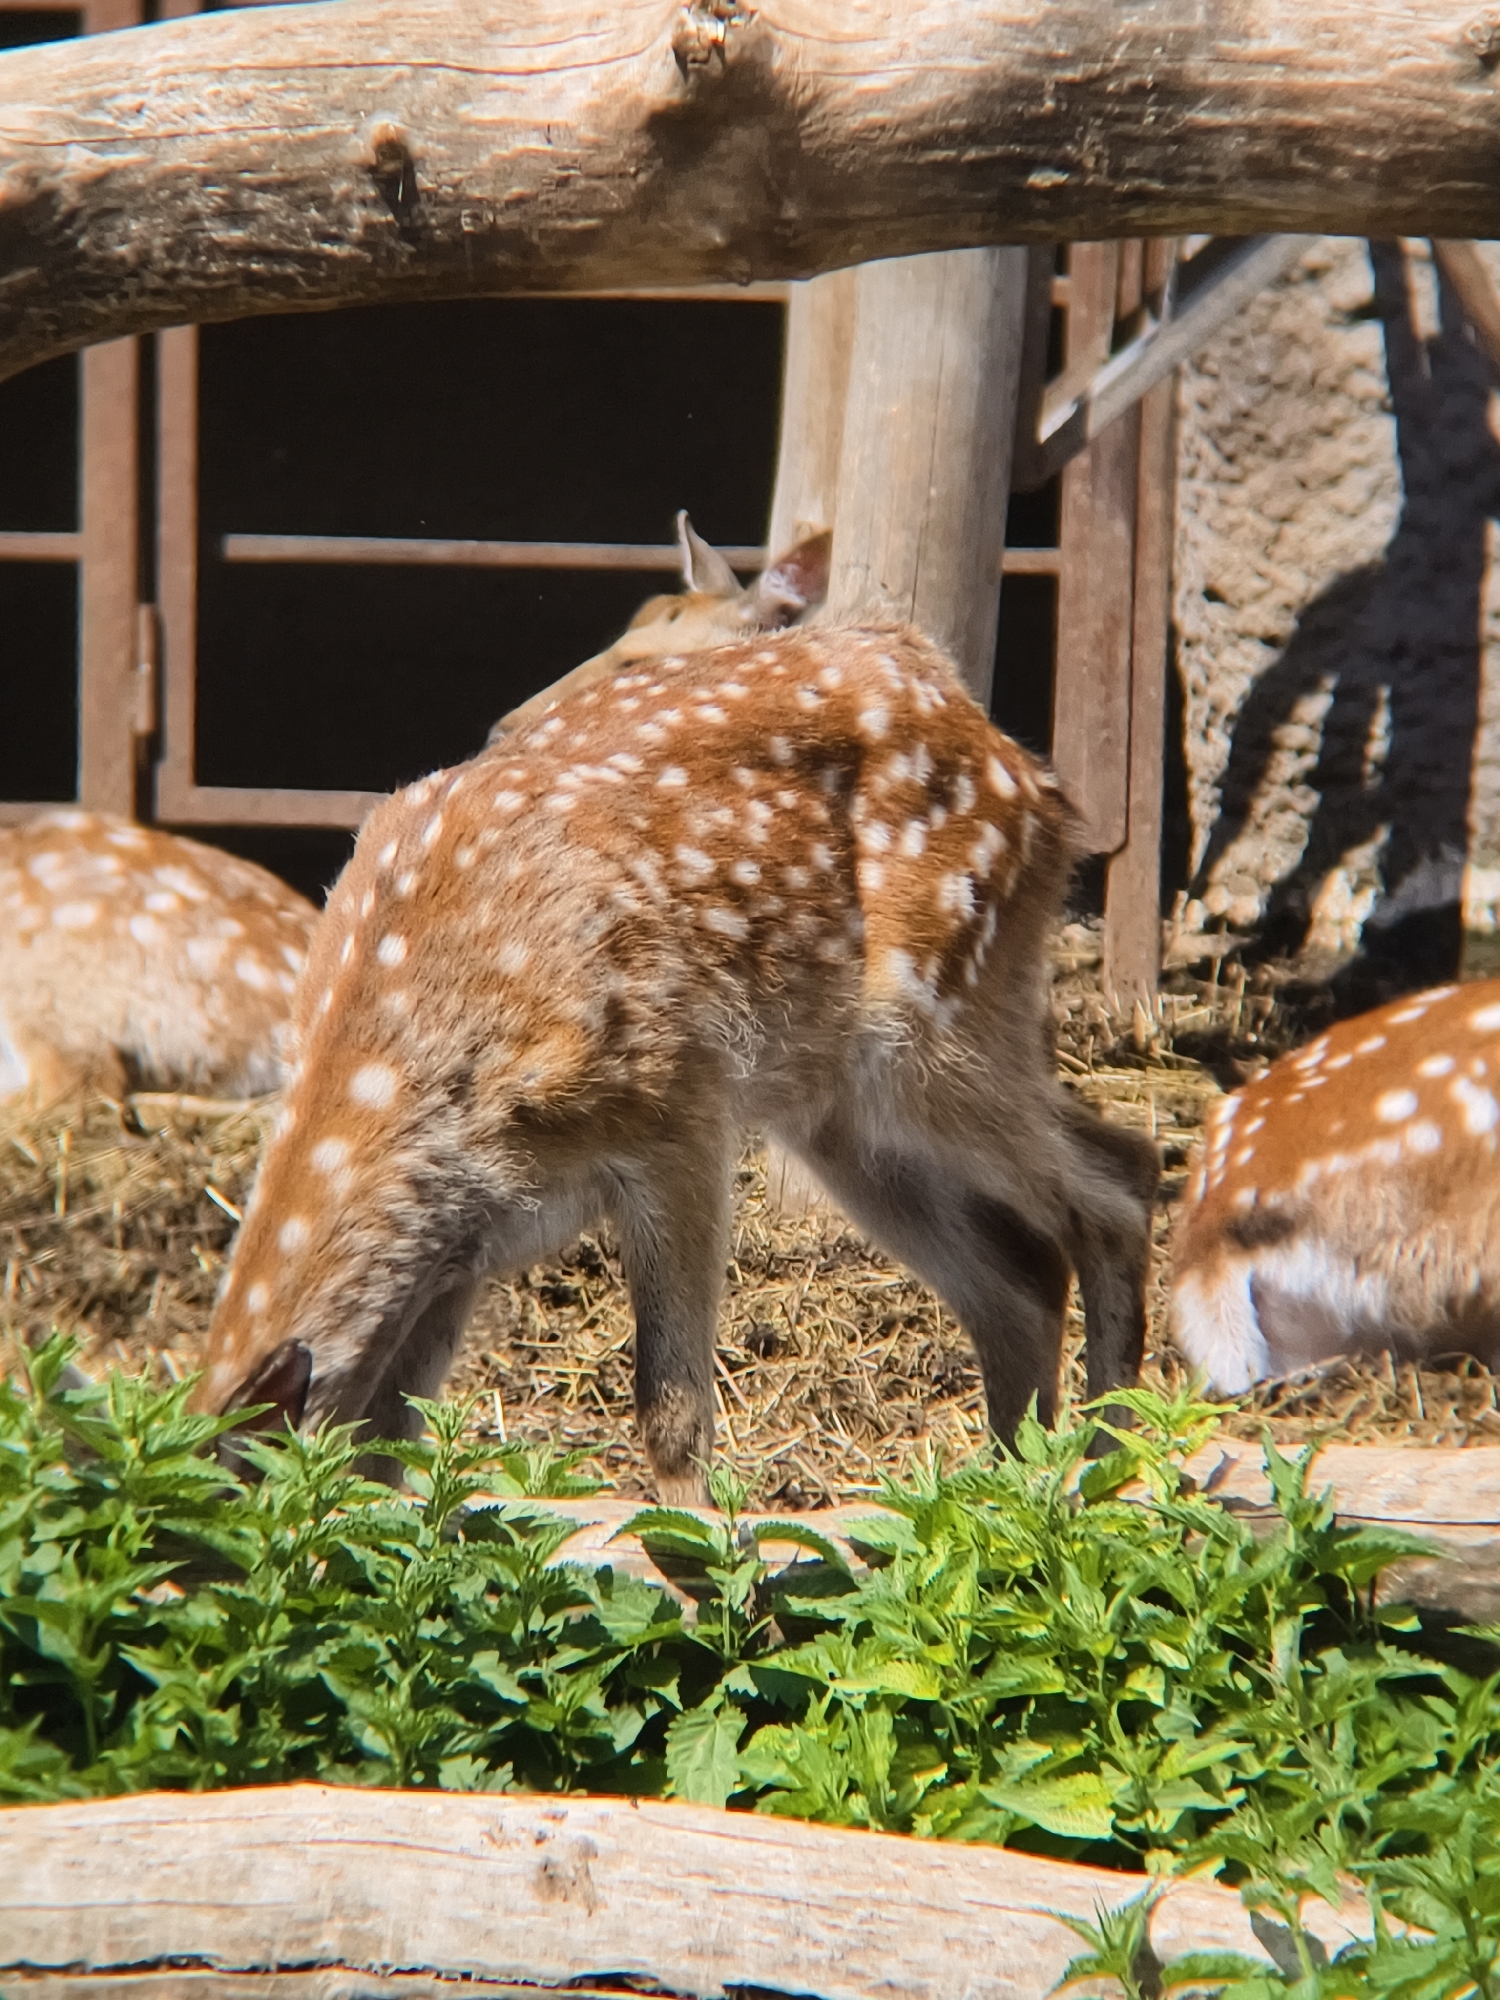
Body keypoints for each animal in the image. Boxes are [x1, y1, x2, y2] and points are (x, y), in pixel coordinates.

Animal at [192, 620, 1159, 1501]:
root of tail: (1029, 771)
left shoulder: (678, 1102)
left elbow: (669, 1408)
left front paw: (702, 1555)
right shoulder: (457, 1247)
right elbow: (384, 1446)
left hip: (933, 1015)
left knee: (1123, 1178)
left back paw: (1103, 1475)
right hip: (839, 1115)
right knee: (1021, 1278)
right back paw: (1005, 1490)